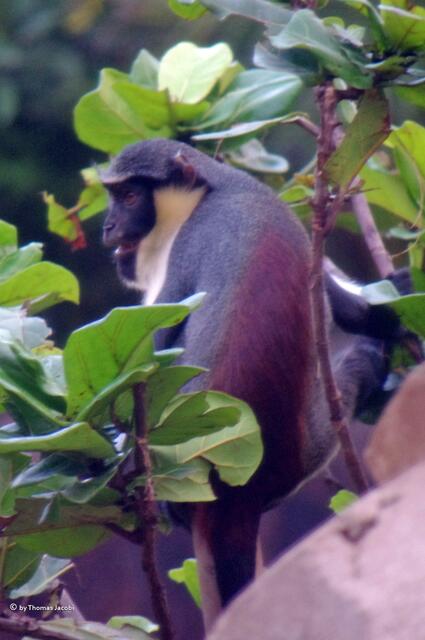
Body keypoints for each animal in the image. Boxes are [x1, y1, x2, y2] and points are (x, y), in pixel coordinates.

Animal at [101, 139, 404, 628]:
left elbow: (149, 352)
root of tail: (233, 498)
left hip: (310, 445)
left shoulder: (186, 252)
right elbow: (344, 306)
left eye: (129, 197)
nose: (109, 226)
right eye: (113, 196)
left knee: (358, 361)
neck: (209, 192)